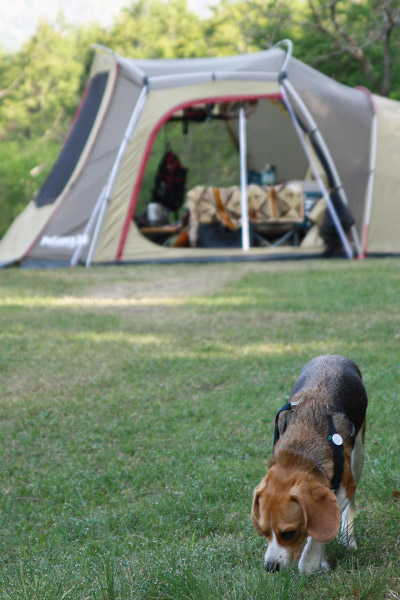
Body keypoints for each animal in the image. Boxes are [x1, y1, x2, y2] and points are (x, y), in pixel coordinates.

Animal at [252, 354, 368, 576]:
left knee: (350, 506)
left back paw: (348, 539)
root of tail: (333, 355)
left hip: (358, 455)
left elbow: (320, 530)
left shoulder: (346, 486)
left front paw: (311, 562)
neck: (299, 452)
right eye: (263, 531)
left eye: (288, 534)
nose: (270, 568)